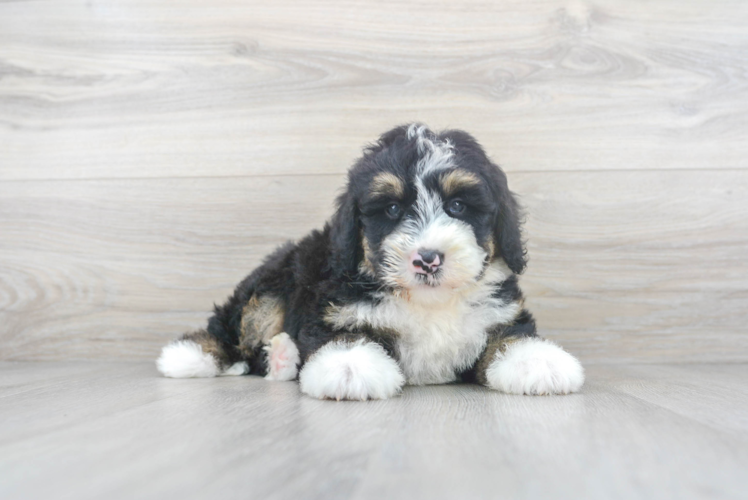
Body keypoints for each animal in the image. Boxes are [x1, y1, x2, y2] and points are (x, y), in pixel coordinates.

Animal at [156, 126, 584, 402]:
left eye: (458, 206)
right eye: (392, 209)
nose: (427, 259)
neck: (428, 302)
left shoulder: (498, 313)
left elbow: (510, 336)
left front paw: (539, 361)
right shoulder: (334, 308)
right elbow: (347, 335)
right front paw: (350, 366)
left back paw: (282, 358)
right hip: (272, 284)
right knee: (234, 330)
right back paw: (192, 356)